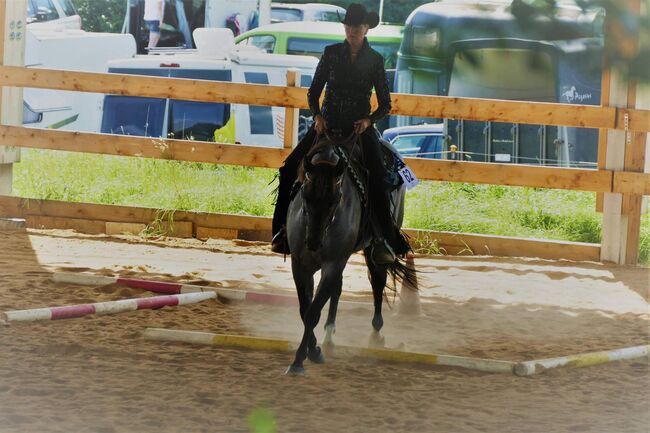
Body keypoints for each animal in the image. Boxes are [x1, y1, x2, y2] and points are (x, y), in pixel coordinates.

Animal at [284, 132, 410, 374]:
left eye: (336, 198)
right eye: (304, 194)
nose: (313, 243)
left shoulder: (333, 263)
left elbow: (312, 312)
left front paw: (300, 360)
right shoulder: (300, 264)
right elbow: (305, 310)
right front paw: (313, 350)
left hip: (371, 250)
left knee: (377, 283)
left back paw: (375, 335)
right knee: (337, 290)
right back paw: (329, 335)